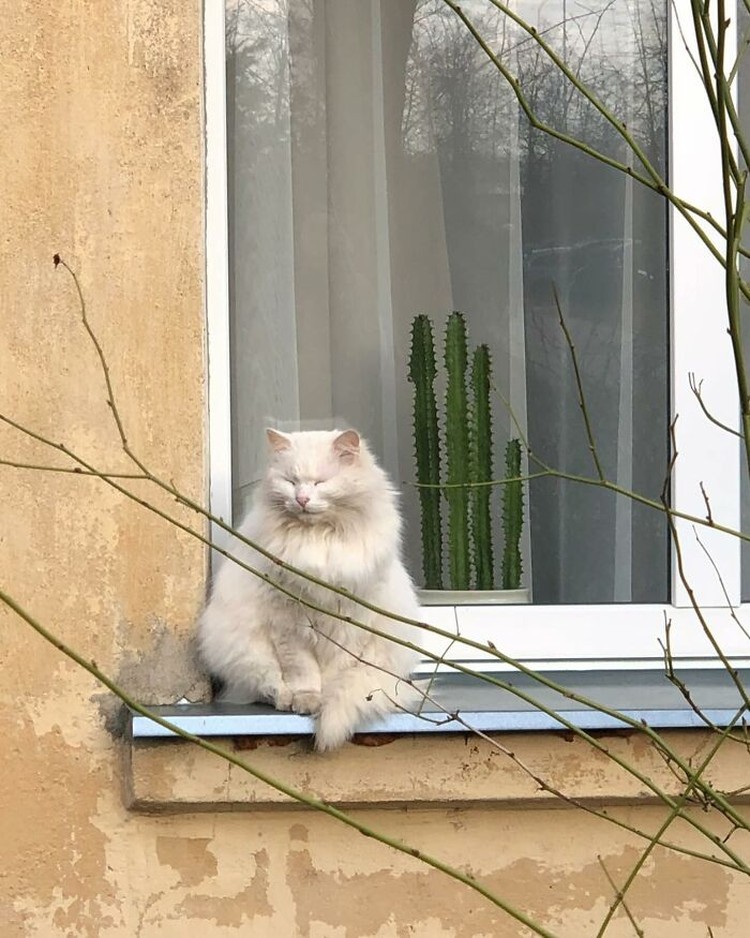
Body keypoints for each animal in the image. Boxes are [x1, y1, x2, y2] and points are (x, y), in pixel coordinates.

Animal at [197, 428, 426, 748]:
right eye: (291, 482)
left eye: (320, 482)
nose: (302, 499)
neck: (317, 539)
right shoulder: (288, 623)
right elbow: (302, 672)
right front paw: (306, 701)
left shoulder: (350, 623)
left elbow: (336, 675)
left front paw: (326, 702)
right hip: (243, 649)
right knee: (266, 686)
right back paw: (284, 700)